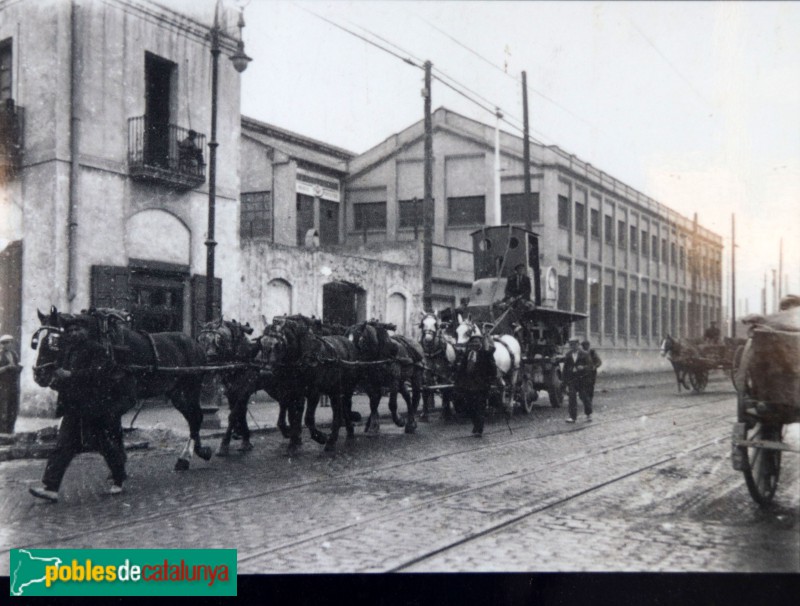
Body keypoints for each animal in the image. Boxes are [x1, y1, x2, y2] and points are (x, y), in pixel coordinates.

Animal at [33, 308, 212, 470]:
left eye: (53, 341)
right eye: (35, 341)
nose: (39, 375)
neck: (106, 346)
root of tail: (195, 344)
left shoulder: (125, 400)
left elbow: (110, 426)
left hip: (190, 388)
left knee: (196, 418)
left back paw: (186, 458)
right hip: (177, 393)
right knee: (193, 418)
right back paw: (196, 453)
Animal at [195, 318, 258, 456]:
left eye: (218, 339)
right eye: (201, 339)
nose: (210, 357)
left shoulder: (245, 389)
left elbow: (234, 415)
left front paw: (224, 445)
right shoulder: (231, 391)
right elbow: (240, 412)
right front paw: (244, 438)